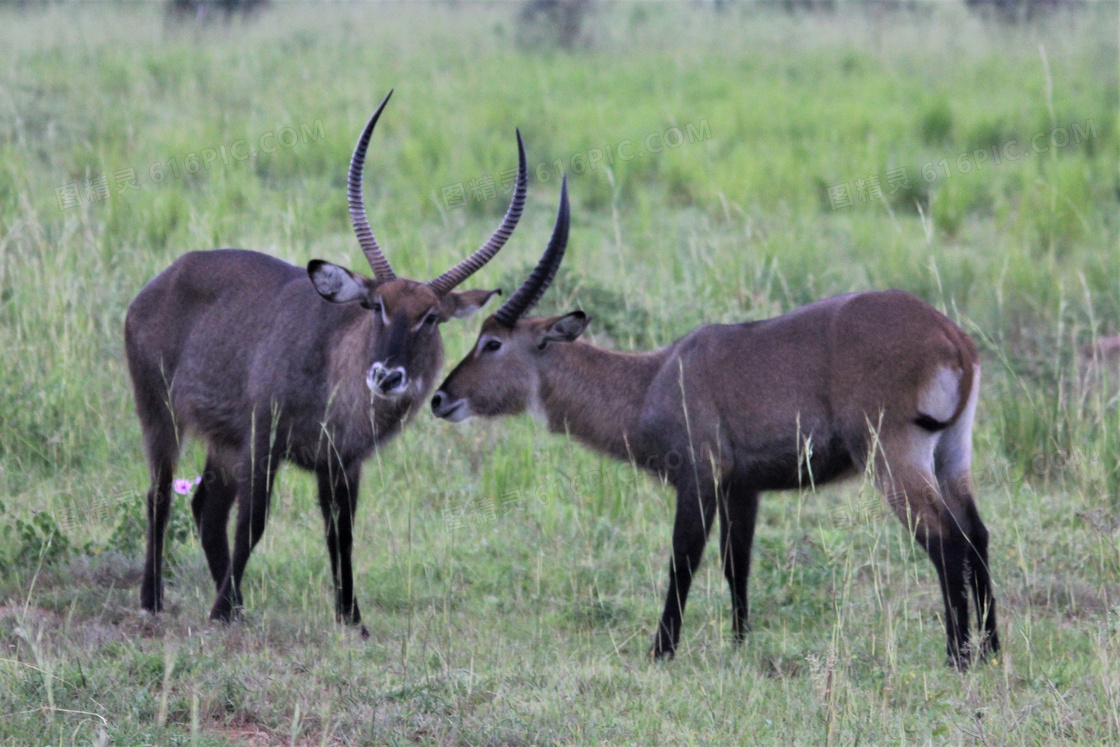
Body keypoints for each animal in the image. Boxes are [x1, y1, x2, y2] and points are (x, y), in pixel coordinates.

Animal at [124, 91, 526, 631]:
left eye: (431, 318)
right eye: (376, 306)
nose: (387, 375)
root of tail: (164, 278)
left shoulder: (342, 462)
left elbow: (342, 534)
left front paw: (351, 618)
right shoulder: (264, 439)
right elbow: (254, 523)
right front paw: (220, 609)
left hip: (223, 440)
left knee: (206, 505)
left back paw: (236, 605)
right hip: (160, 413)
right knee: (161, 495)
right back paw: (155, 599)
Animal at [432, 181, 1003, 667]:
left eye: (492, 342)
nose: (440, 398)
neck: (652, 379)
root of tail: (951, 336)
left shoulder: (698, 478)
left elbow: (682, 559)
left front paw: (661, 651)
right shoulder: (741, 489)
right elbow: (737, 563)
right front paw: (739, 643)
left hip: (893, 456)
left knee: (944, 539)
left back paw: (957, 655)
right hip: (952, 454)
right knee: (976, 533)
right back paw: (992, 649)